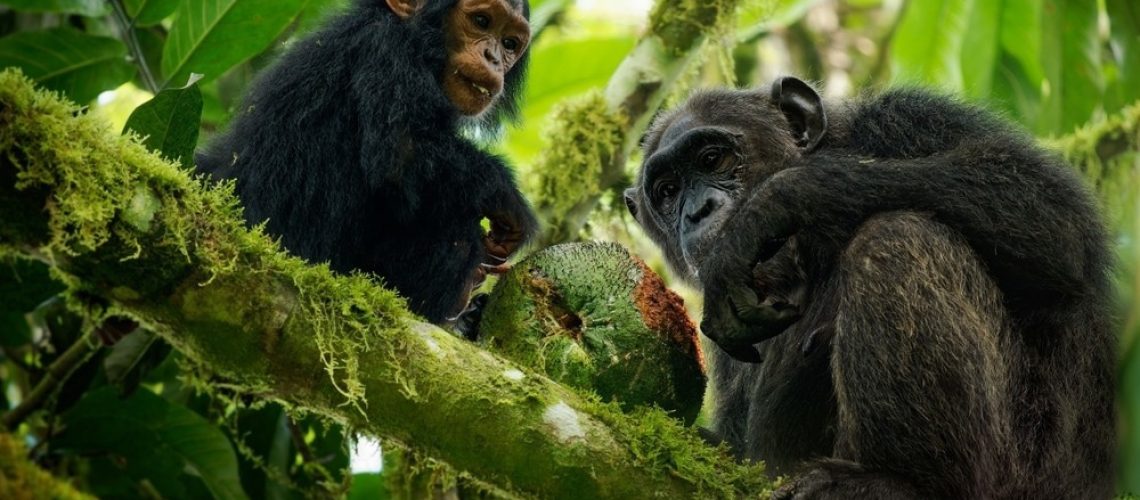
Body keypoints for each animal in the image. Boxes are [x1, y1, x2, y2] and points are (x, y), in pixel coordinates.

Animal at [196, 0, 538, 328]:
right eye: (481, 21)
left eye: (509, 43)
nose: (493, 57)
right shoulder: (387, 53)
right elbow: (401, 153)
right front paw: (508, 201)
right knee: (457, 227)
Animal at [624, 77, 1115, 499]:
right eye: (668, 191)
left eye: (712, 159)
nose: (698, 211)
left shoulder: (912, 119)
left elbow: (1047, 211)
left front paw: (767, 208)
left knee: (896, 238)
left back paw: (900, 483)